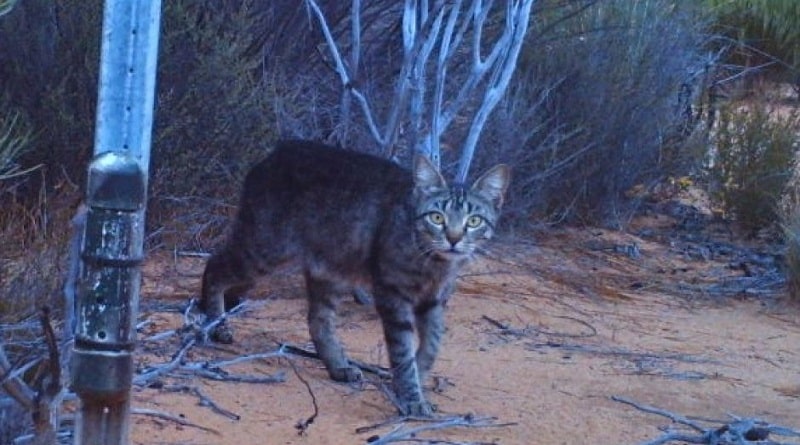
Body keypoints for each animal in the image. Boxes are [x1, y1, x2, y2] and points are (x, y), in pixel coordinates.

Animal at [203, 140, 510, 416]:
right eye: (436, 217)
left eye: (474, 221)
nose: (454, 239)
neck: (434, 261)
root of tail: (277, 151)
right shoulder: (392, 294)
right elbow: (402, 351)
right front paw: (411, 397)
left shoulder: (433, 299)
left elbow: (433, 342)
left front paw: (420, 375)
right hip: (265, 249)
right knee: (213, 266)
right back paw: (215, 325)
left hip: (329, 268)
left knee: (318, 319)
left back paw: (338, 366)